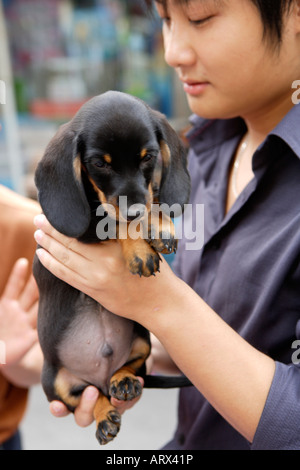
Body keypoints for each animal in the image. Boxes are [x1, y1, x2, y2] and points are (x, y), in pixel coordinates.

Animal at [33, 91, 190, 444]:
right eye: (100, 163)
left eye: (149, 157)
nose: (133, 212)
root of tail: (100, 379)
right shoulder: (88, 224)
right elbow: (116, 221)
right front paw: (139, 249)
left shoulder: (143, 193)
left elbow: (151, 197)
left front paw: (160, 225)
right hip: (54, 382)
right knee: (89, 397)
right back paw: (105, 414)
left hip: (142, 338)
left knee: (132, 368)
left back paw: (123, 380)